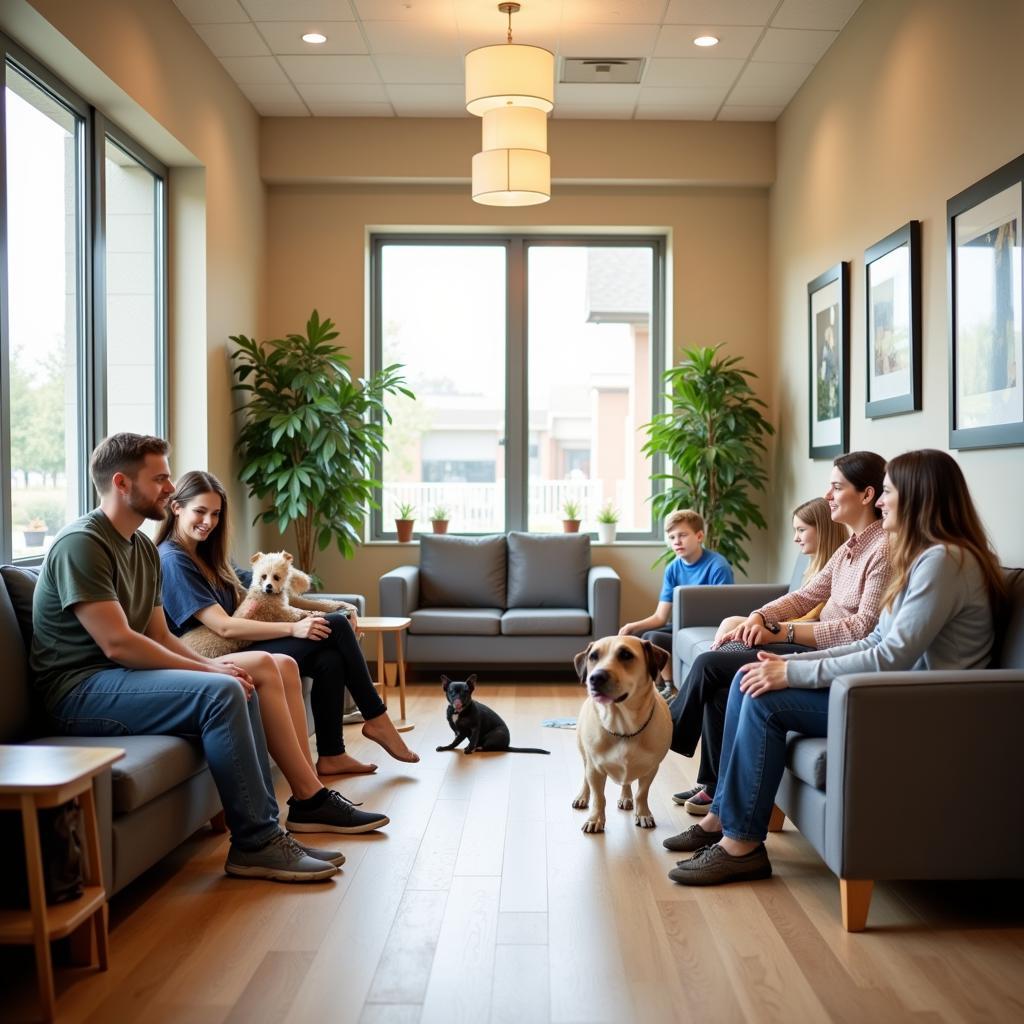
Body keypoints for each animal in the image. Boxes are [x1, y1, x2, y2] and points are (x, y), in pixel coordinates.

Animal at [569, 634, 671, 835]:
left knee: (627, 782)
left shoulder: (651, 768)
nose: (595, 677)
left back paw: (626, 796)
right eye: (593, 656)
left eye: (625, 655)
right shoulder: (595, 769)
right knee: (585, 778)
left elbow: (642, 793)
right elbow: (598, 797)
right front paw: (595, 819)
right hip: (584, 754)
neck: (623, 726)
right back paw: (582, 796)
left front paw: (643, 813)